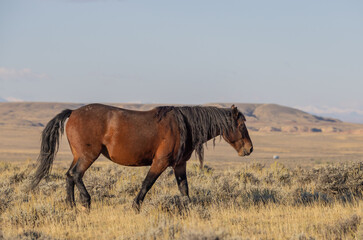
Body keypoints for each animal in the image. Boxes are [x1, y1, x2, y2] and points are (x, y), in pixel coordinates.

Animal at [29, 103, 253, 210]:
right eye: (241, 125)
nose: (249, 149)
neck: (184, 126)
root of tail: (74, 111)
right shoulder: (160, 162)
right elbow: (147, 183)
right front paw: (135, 206)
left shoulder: (179, 164)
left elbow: (184, 189)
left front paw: (190, 208)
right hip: (87, 156)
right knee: (75, 175)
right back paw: (86, 201)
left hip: (79, 156)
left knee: (69, 176)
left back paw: (72, 205)